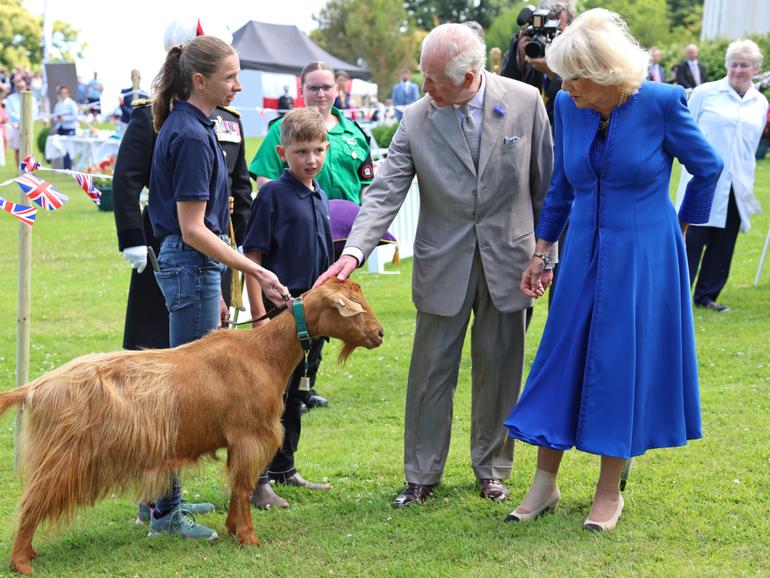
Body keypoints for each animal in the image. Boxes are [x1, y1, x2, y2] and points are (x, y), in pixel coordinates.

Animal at [0, 278, 382, 572]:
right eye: (355, 307)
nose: (378, 333)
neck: (262, 354)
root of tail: (35, 387)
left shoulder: (239, 441)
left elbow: (236, 487)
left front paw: (232, 529)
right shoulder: (250, 437)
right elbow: (244, 487)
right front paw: (248, 539)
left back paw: (29, 553)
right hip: (65, 455)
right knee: (32, 501)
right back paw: (21, 562)